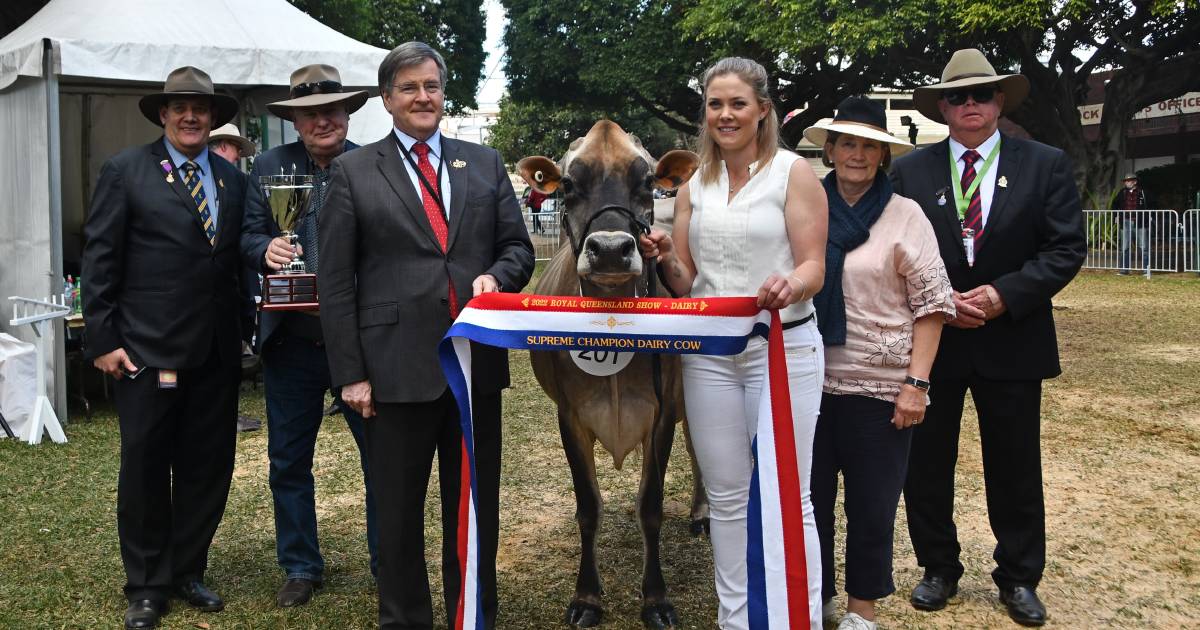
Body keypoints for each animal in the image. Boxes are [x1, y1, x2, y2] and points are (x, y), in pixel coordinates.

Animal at [520, 120, 705, 624]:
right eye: (567, 185)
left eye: (647, 181)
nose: (608, 250)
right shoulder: (569, 414)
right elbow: (588, 506)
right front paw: (586, 597)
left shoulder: (663, 410)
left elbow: (651, 506)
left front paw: (656, 598)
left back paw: (702, 512)